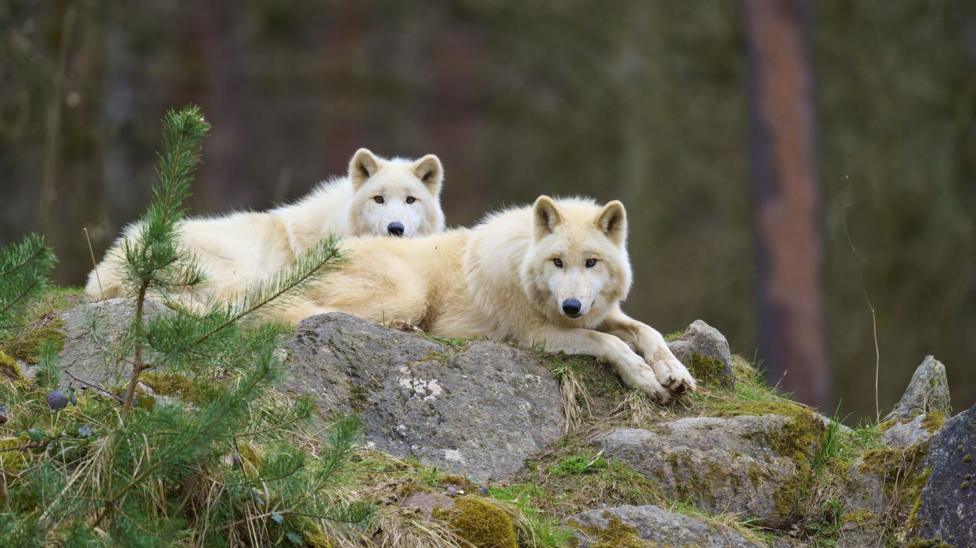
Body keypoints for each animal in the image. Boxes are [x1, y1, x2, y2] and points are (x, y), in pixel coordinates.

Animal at [273, 195, 696, 401]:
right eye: (557, 262)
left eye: (591, 262)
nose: (571, 306)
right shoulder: (535, 334)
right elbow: (608, 342)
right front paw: (644, 378)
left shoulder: (598, 314)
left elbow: (647, 332)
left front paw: (675, 372)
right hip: (406, 295)